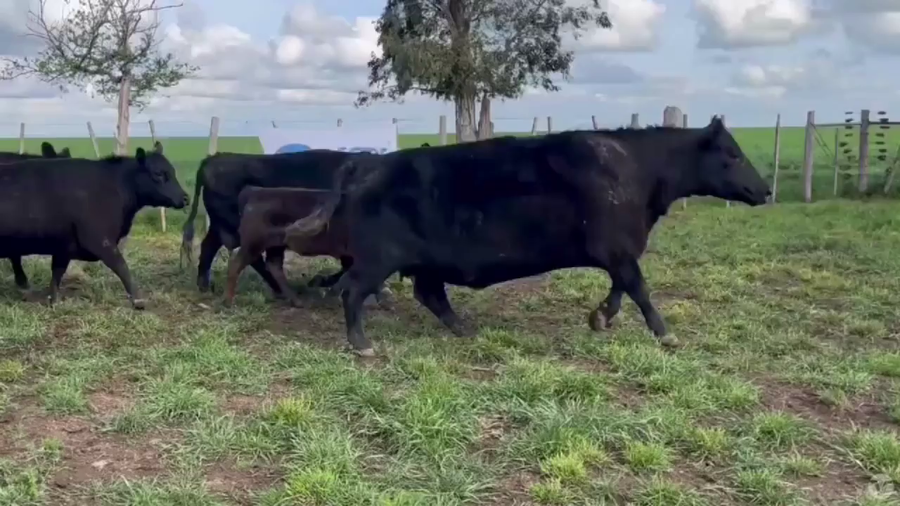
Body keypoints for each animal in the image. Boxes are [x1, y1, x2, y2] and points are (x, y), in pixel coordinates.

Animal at [180, 150, 390, 303]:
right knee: (252, 258)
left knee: (210, 247)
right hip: (242, 230)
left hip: (222, 226)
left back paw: (204, 285)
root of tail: (214, 158)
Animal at [285, 117, 771, 357]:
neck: (634, 167)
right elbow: (639, 288)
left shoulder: (616, 251)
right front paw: (664, 334)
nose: (765, 189)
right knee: (353, 292)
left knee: (430, 295)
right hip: (377, 258)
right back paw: (362, 345)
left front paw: (600, 317)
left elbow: (621, 288)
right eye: (732, 154)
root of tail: (366, 162)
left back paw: (465, 329)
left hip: (422, 262)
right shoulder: (617, 247)